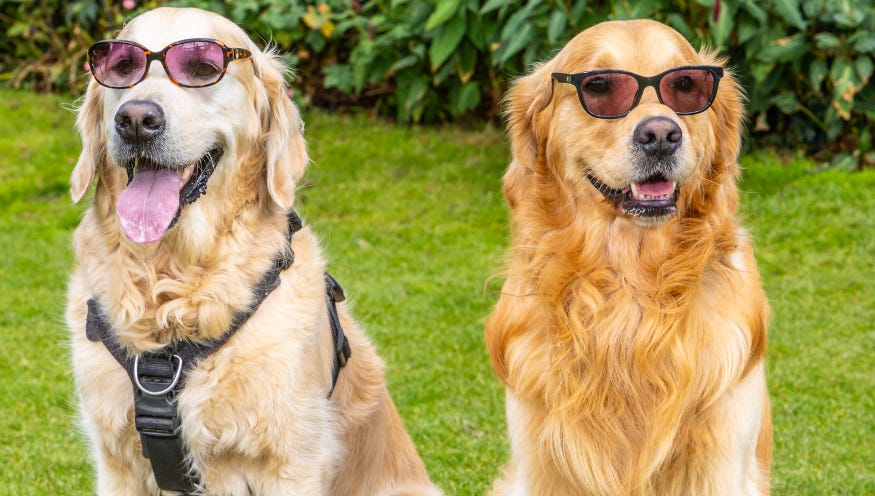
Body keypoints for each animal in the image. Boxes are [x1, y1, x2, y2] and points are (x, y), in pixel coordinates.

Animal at [65, 7, 442, 496]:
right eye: (122, 67)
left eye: (201, 68)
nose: (135, 119)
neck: (174, 287)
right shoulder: (116, 463)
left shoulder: (291, 462)